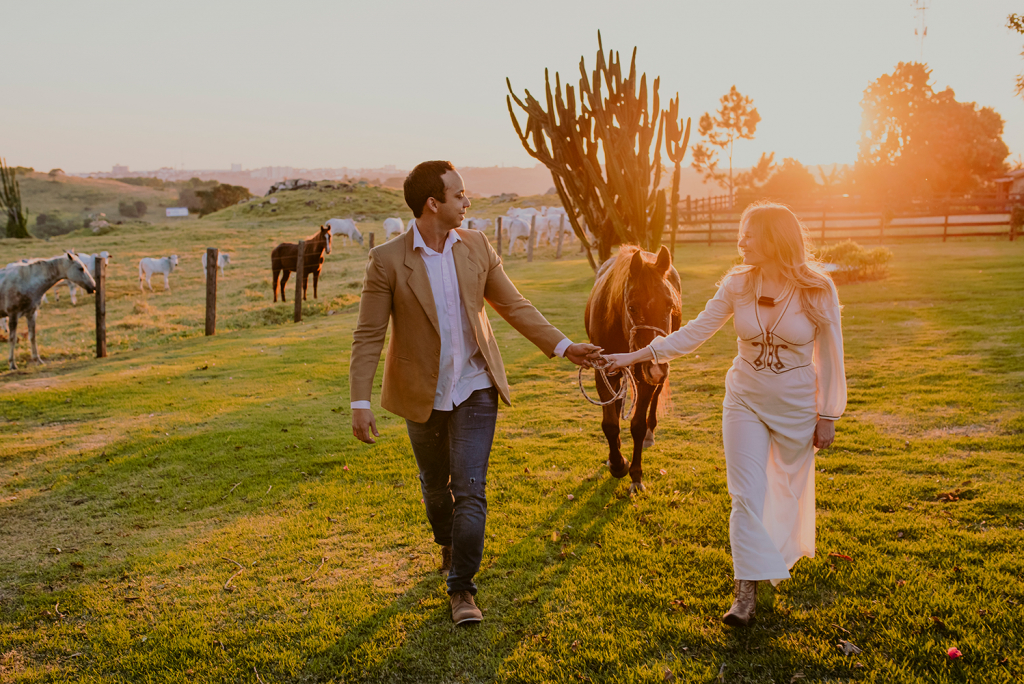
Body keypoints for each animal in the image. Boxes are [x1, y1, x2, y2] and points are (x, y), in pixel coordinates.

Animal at [585, 245, 679, 491]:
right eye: (632, 307)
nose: (657, 369)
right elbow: (610, 423)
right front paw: (617, 463)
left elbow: (637, 425)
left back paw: (650, 434)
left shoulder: (643, 374)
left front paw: (635, 474)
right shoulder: (603, 371)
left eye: (670, 305)